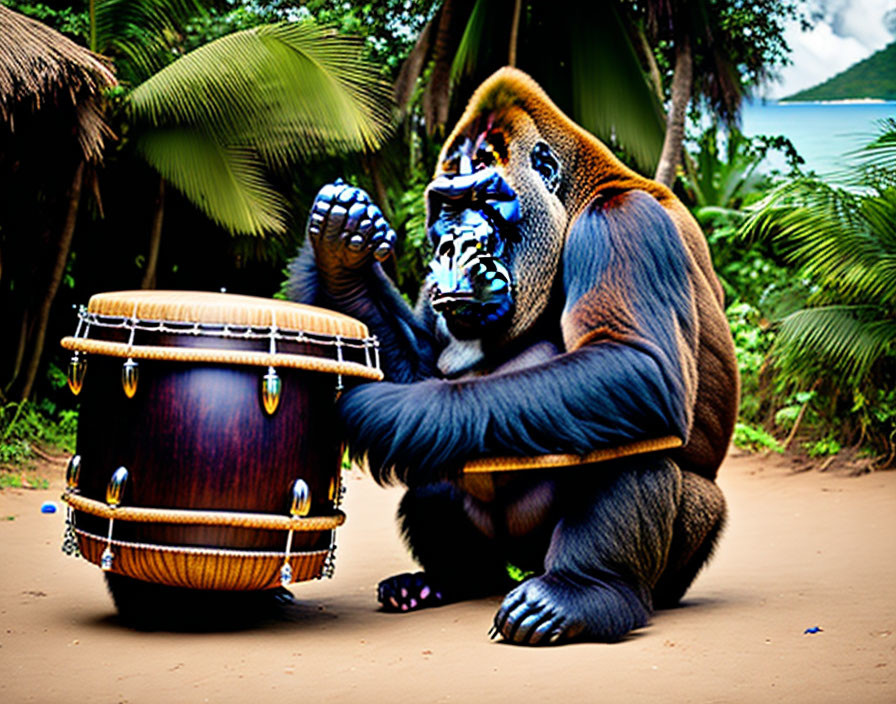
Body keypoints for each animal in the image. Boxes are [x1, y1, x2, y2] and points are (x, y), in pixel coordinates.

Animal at [286, 69, 736, 648]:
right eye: (446, 207)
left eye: (484, 196)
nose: (453, 245)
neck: (573, 197)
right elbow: (427, 378)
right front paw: (343, 257)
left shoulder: (623, 220)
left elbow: (635, 366)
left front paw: (375, 411)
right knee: (437, 469)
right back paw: (448, 581)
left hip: (677, 556)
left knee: (631, 432)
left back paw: (584, 593)